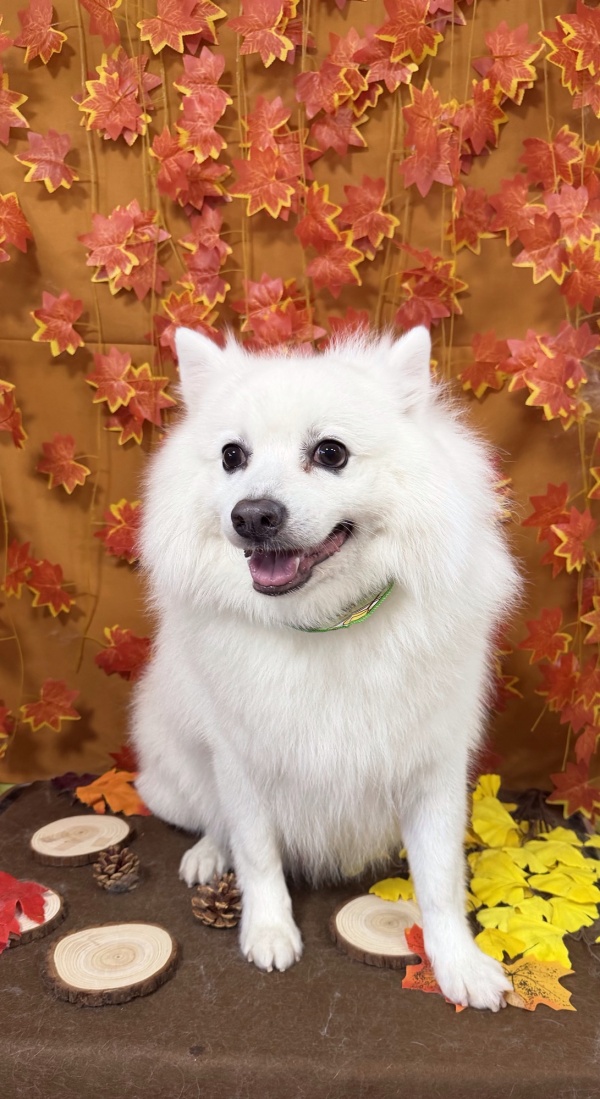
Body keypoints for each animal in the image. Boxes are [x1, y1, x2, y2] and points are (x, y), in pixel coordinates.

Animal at [131, 325, 519, 1010]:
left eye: (331, 453)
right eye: (232, 456)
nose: (252, 514)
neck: (324, 623)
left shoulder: (433, 767)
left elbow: (440, 879)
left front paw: (459, 964)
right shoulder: (242, 761)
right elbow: (257, 853)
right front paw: (268, 931)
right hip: (179, 770)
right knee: (212, 821)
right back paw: (207, 854)